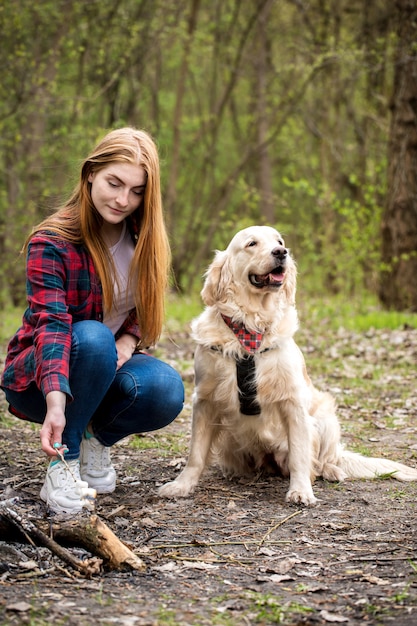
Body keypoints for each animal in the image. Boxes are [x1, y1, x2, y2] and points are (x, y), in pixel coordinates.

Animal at [159, 224, 416, 502]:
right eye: (251, 244)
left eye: (279, 241)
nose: (281, 253)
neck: (250, 330)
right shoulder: (204, 398)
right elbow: (196, 453)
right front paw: (182, 485)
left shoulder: (293, 401)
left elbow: (300, 456)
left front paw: (301, 490)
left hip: (325, 418)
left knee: (324, 458)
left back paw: (332, 470)